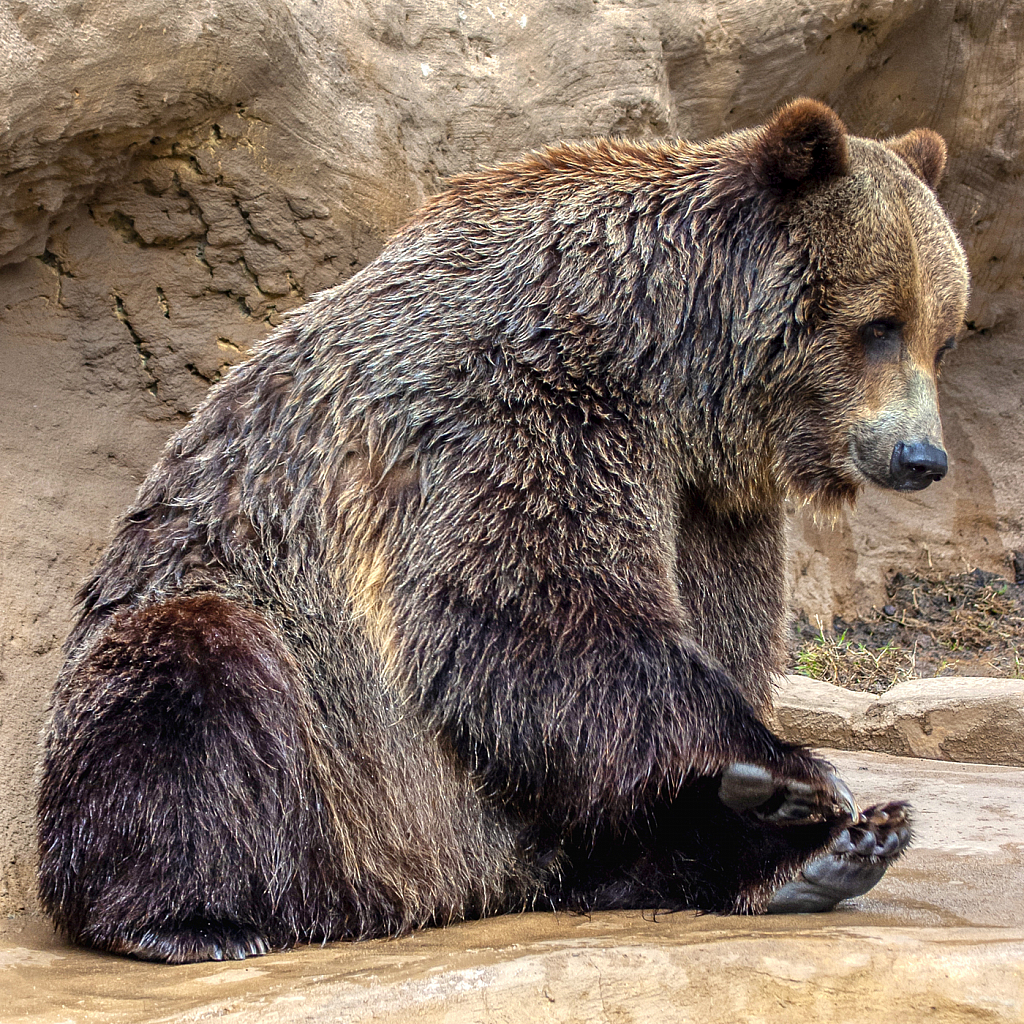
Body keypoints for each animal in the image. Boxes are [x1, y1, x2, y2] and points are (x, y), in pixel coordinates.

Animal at [37, 99, 966, 962]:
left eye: (941, 335)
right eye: (879, 324)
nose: (923, 455)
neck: (673, 368)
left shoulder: (709, 503)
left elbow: (709, 632)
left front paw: (785, 809)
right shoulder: (520, 405)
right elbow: (530, 614)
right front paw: (793, 770)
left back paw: (836, 854)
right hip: (312, 741)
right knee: (191, 680)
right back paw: (186, 921)